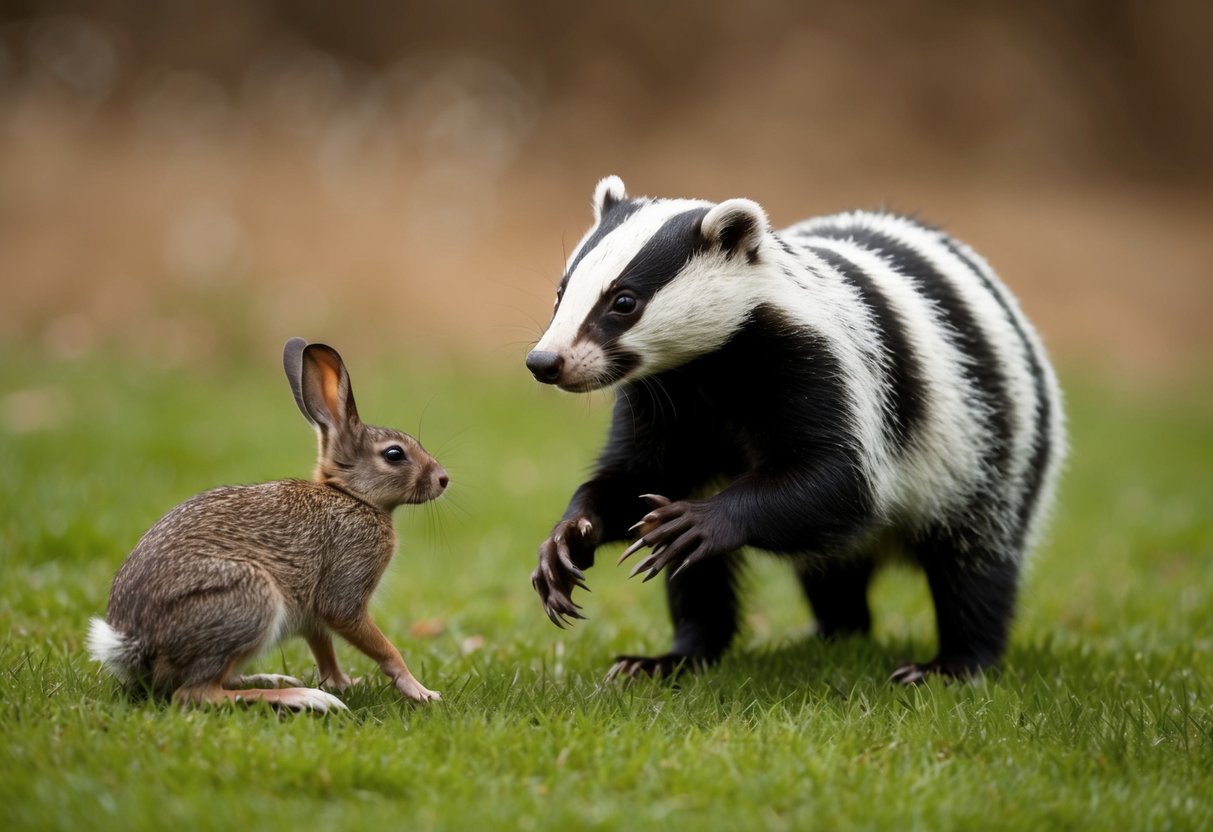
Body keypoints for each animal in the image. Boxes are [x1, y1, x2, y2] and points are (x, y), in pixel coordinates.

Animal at [87, 337, 448, 712]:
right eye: (394, 454)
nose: (443, 479)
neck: (352, 496)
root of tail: (134, 645)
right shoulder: (344, 587)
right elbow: (378, 644)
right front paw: (420, 691)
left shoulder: (312, 616)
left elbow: (325, 650)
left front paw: (345, 682)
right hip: (250, 601)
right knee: (197, 692)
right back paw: (304, 697)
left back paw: (278, 680)